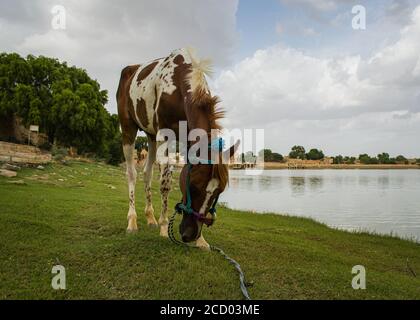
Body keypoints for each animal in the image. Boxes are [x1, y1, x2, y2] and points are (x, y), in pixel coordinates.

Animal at [116, 46, 240, 249]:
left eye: (218, 193)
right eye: (194, 186)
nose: (190, 234)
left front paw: (201, 240)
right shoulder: (165, 136)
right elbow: (165, 183)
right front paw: (164, 227)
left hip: (151, 136)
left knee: (147, 173)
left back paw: (150, 217)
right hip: (128, 129)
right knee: (132, 174)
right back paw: (132, 221)